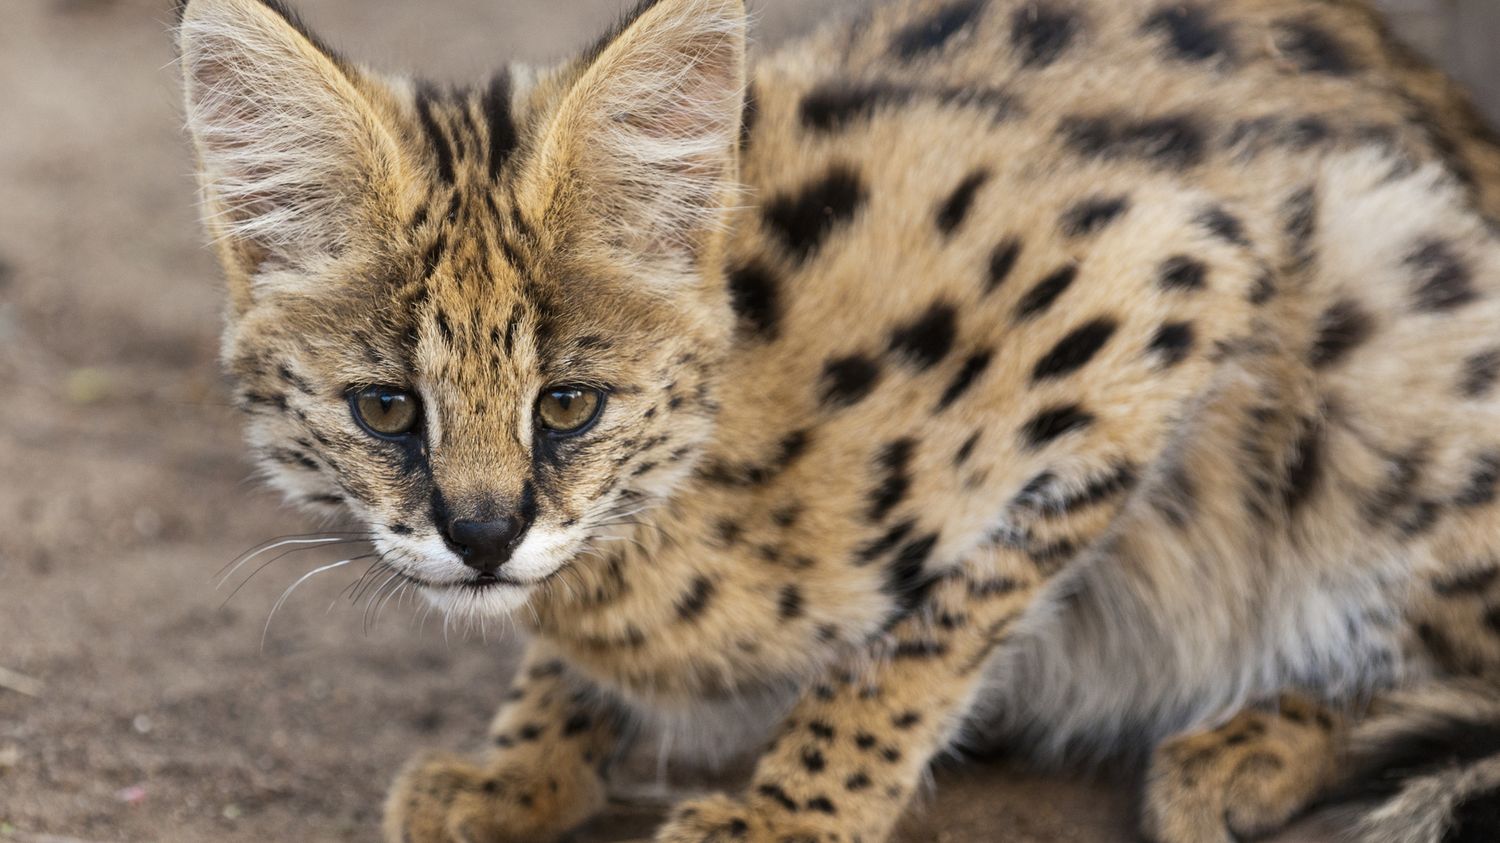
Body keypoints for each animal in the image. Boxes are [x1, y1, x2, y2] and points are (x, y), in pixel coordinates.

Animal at [178, 0, 1500, 834]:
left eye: (568, 404)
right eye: (386, 408)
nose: (483, 537)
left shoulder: (1171, 279)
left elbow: (927, 630)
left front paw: (795, 808)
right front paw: (522, 767)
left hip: (1394, 317)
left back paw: (1256, 739)